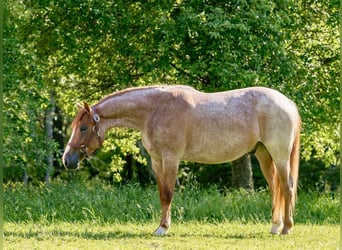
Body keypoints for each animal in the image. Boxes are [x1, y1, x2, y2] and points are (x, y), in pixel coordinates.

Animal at [62, 85, 300, 235]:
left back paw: (286, 228)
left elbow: (168, 194)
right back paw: (275, 227)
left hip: (279, 155)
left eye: (83, 128)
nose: (67, 160)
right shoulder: (157, 160)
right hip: (263, 155)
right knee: (275, 189)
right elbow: (161, 194)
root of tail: (287, 102)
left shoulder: (171, 158)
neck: (155, 110)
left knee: (287, 186)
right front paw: (161, 225)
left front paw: (163, 228)